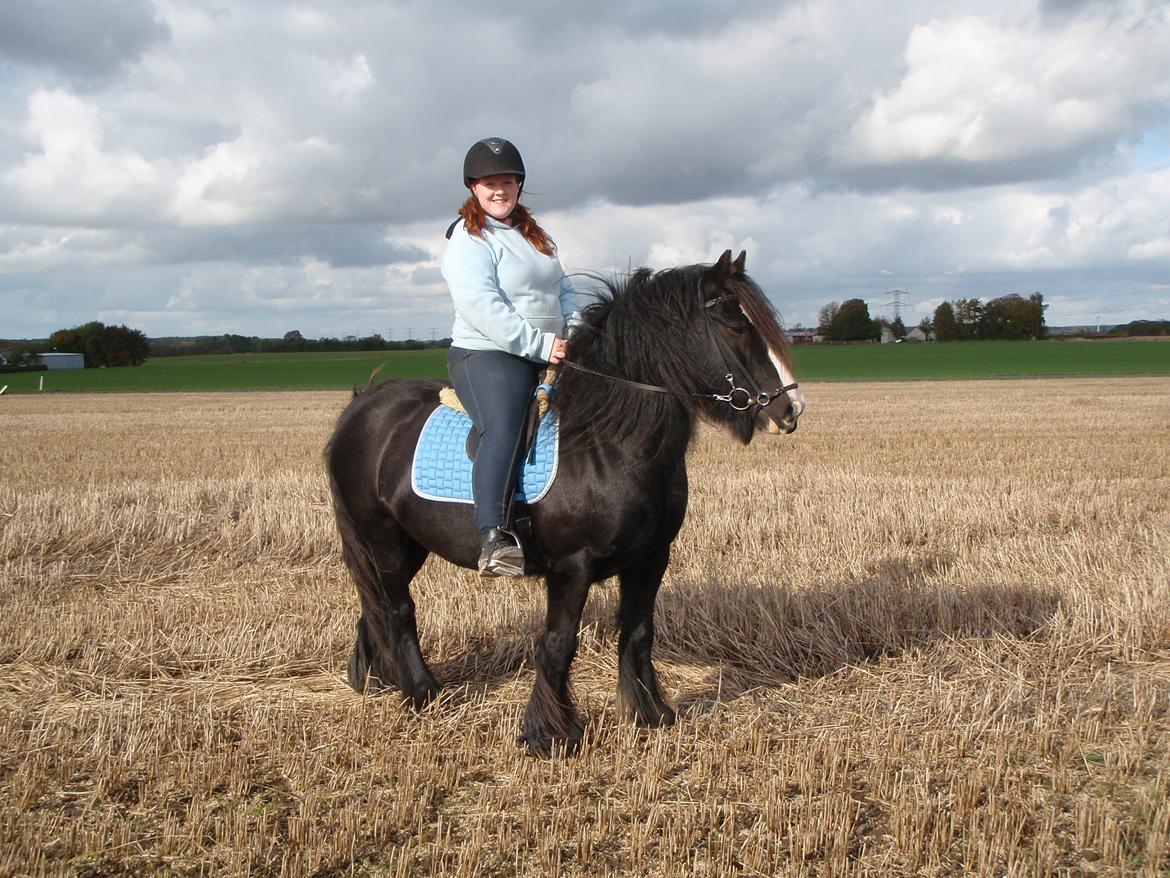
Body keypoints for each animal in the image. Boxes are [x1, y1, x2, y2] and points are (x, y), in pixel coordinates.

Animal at [329, 249, 804, 758]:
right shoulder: (571, 567)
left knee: (376, 604)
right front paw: (550, 734)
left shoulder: (652, 559)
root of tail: (363, 405)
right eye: (736, 324)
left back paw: (380, 680)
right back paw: (422, 692)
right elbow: (558, 644)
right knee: (398, 610)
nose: (790, 411)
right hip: (381, 537)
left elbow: (638, 634)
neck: (609, 440)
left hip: (406, 543)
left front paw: (650, 713)